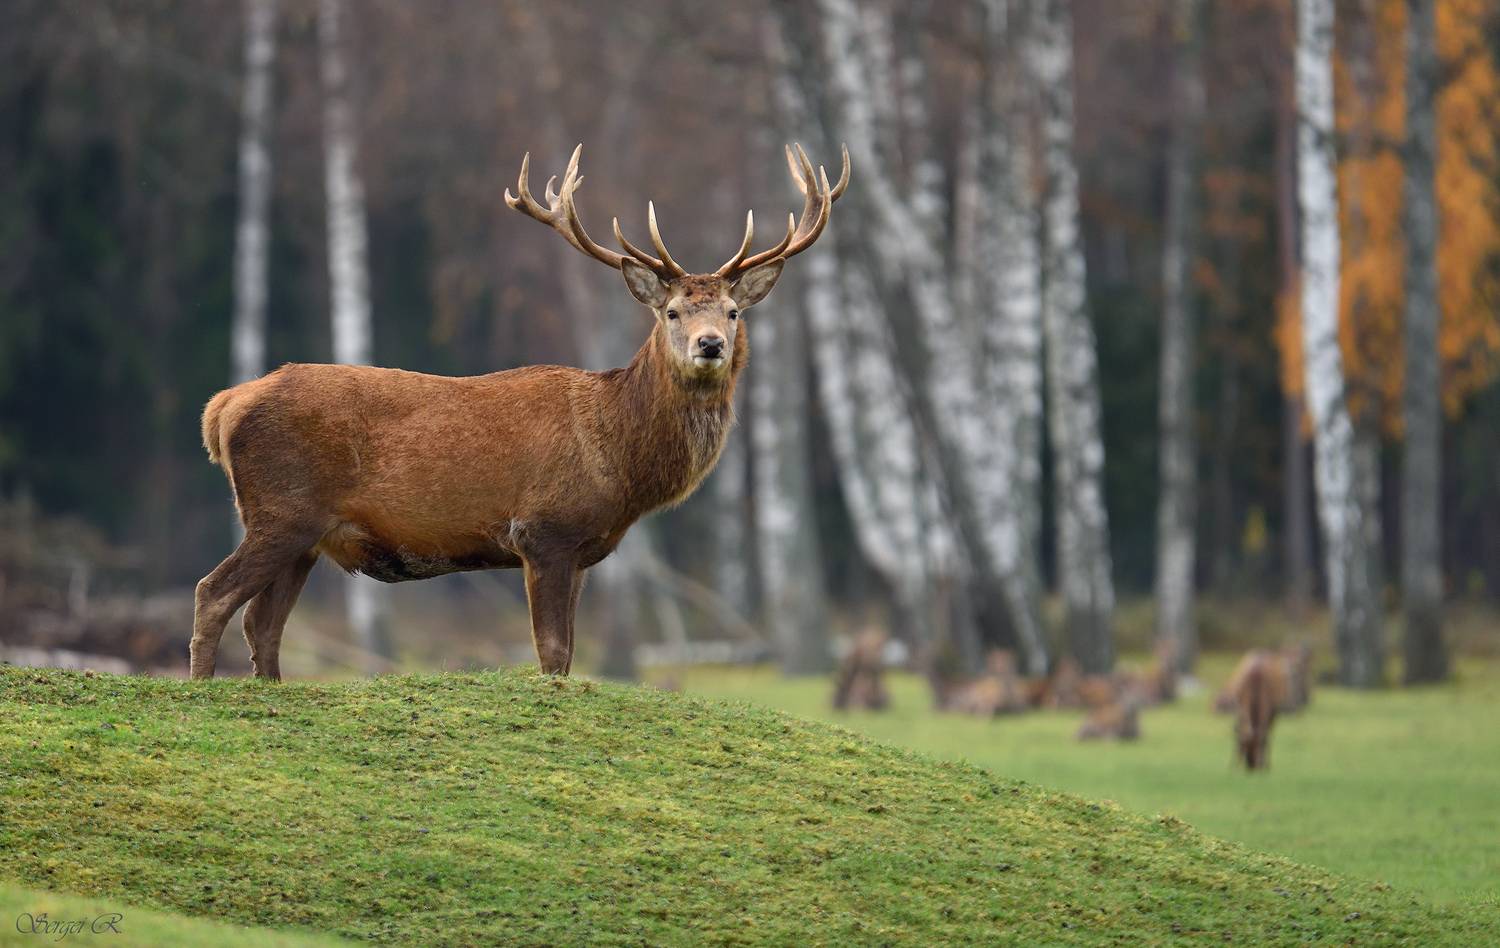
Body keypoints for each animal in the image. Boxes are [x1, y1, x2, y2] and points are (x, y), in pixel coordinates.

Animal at [191, 143, 848, 680]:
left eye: (733, 312)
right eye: (672, 313)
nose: (709, 345)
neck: (619, 460)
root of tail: (222, 407)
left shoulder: (582, 550)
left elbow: (570, 654)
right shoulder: (542, 530)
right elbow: (552, 653)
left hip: (304, 533)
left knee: (262, 624)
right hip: (282, 510)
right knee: (213, 593)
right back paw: (204, 688)